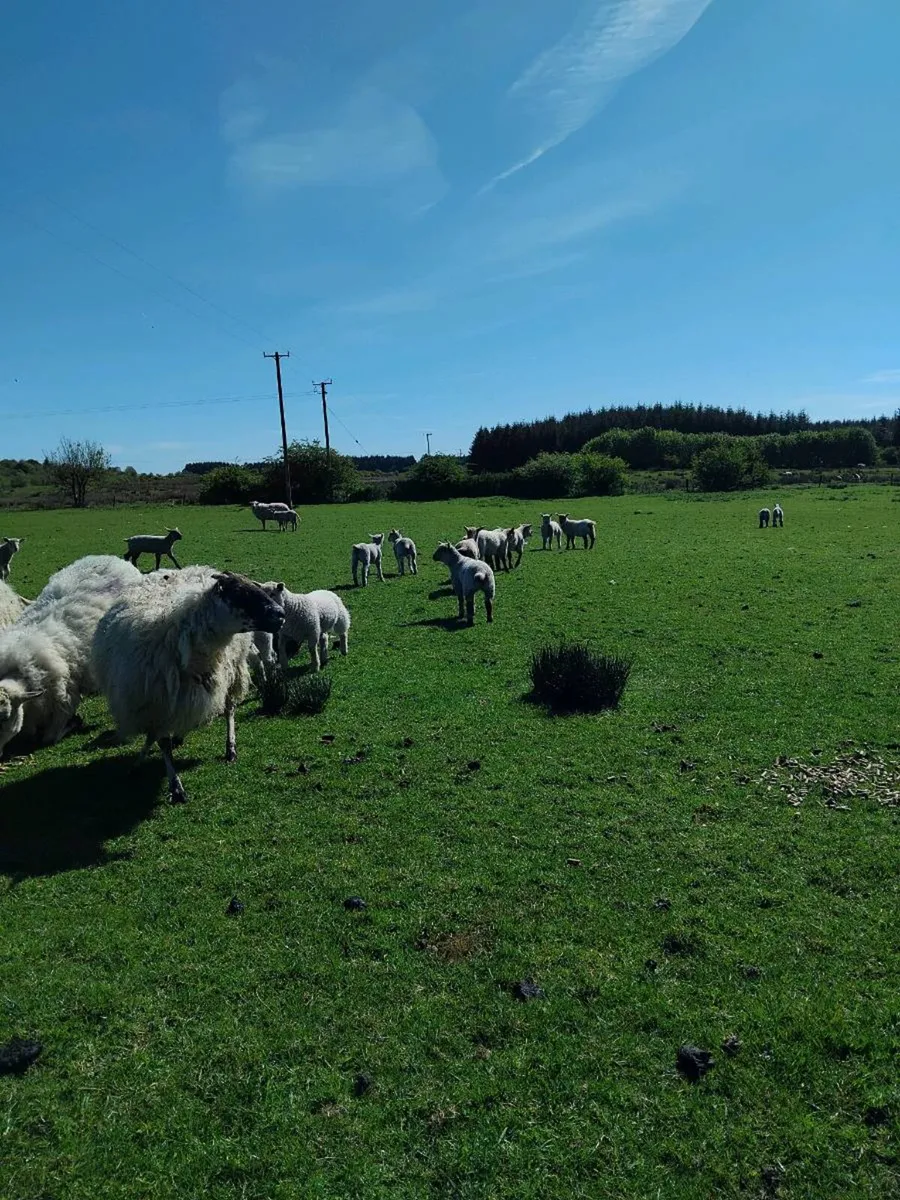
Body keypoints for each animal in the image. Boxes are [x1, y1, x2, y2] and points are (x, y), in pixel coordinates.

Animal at [92, 566, 285, 804]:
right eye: (240, 592)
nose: (281, 614)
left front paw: (175, 787)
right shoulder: (155, 703)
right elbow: (159, 740)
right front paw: (160, 774)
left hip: (232, 672)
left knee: (229, 709)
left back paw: (230, 748)